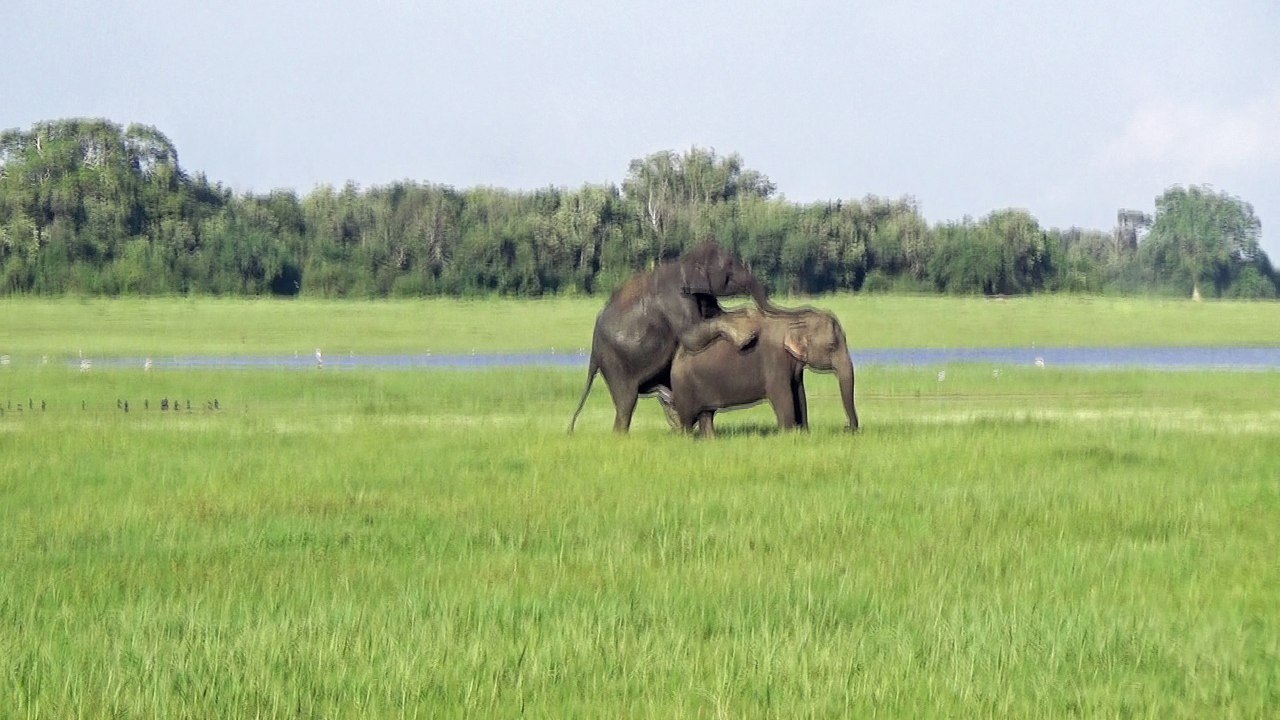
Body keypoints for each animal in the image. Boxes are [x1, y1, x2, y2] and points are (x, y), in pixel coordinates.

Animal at [568, 241, 788, 433]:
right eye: (730, 266)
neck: (685, 262)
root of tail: (593, 349)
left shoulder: (702, 295)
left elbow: (716, 315)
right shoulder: (675, 298)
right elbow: (692, 336)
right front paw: (747, 334)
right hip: (615, 363)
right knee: (626, 402)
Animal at [670, 307, 859, 437]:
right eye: (832, 346)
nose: (847, 428)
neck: (794, 320)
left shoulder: (793, 369)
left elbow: (799, 393)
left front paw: (804, 433)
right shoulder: (774, 361)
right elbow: (783, 396)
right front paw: (788, 435)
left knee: (706, 415)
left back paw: (710, 440)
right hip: (683, 386)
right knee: (687, 420)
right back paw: (687, 439)